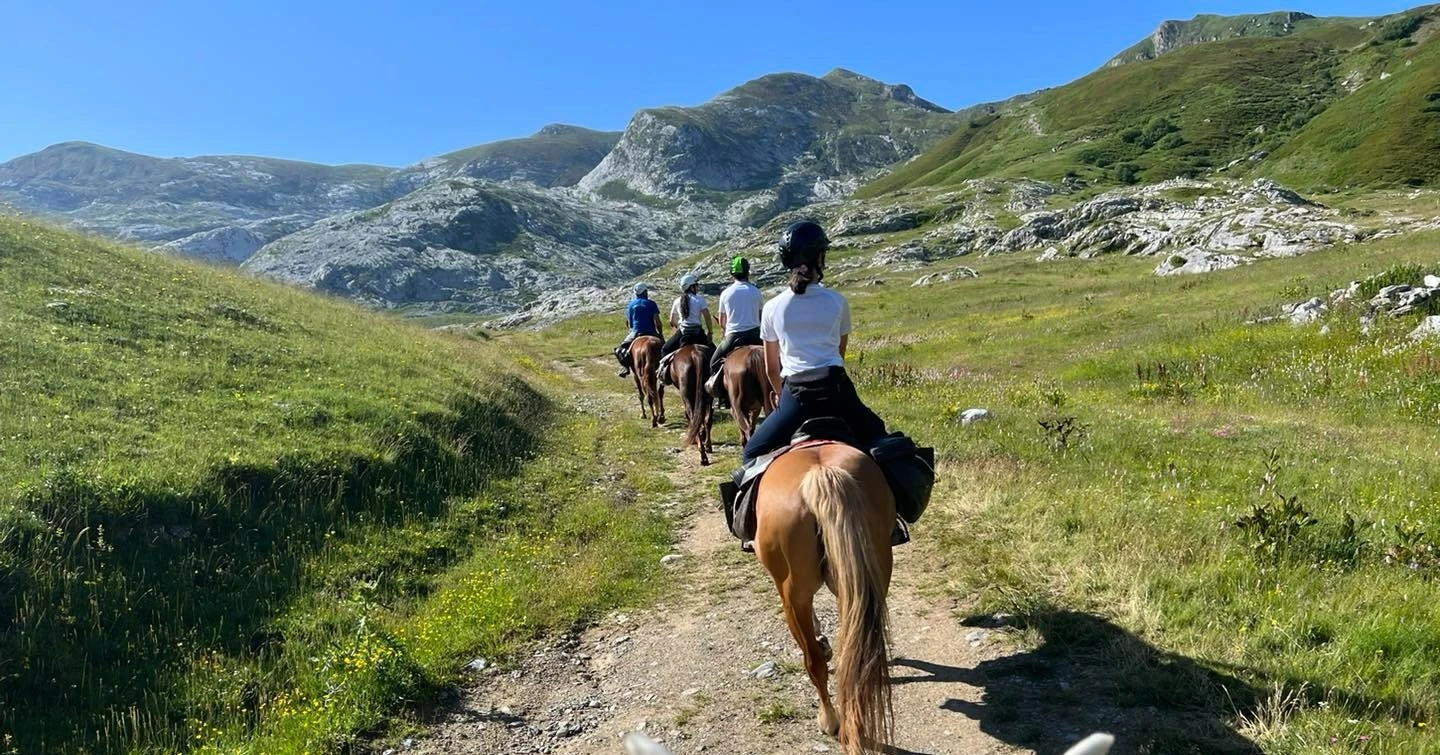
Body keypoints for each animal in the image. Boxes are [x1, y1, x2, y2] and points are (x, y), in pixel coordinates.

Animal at [760, 446, 892, 749]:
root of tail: (822, 474)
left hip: (793, 596)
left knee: (814, 663)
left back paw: (830, 719)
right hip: (866, 577)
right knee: (854, 654)